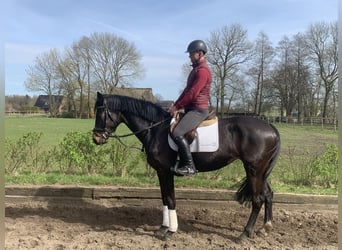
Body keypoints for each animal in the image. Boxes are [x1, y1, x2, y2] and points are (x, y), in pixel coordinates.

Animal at [91, 93, 280, 241]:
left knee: (257, 199)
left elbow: (170, 199)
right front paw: (162, 228)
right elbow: (164, 198)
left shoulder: (165, 172)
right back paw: (265, 227)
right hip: (261, 171)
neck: (156, 129)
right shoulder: (161, 172)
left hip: (253, 169)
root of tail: (270, 126)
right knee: (268, 194)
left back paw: (244, 234)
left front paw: (170, 231)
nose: (96, 138)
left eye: (101, 113)